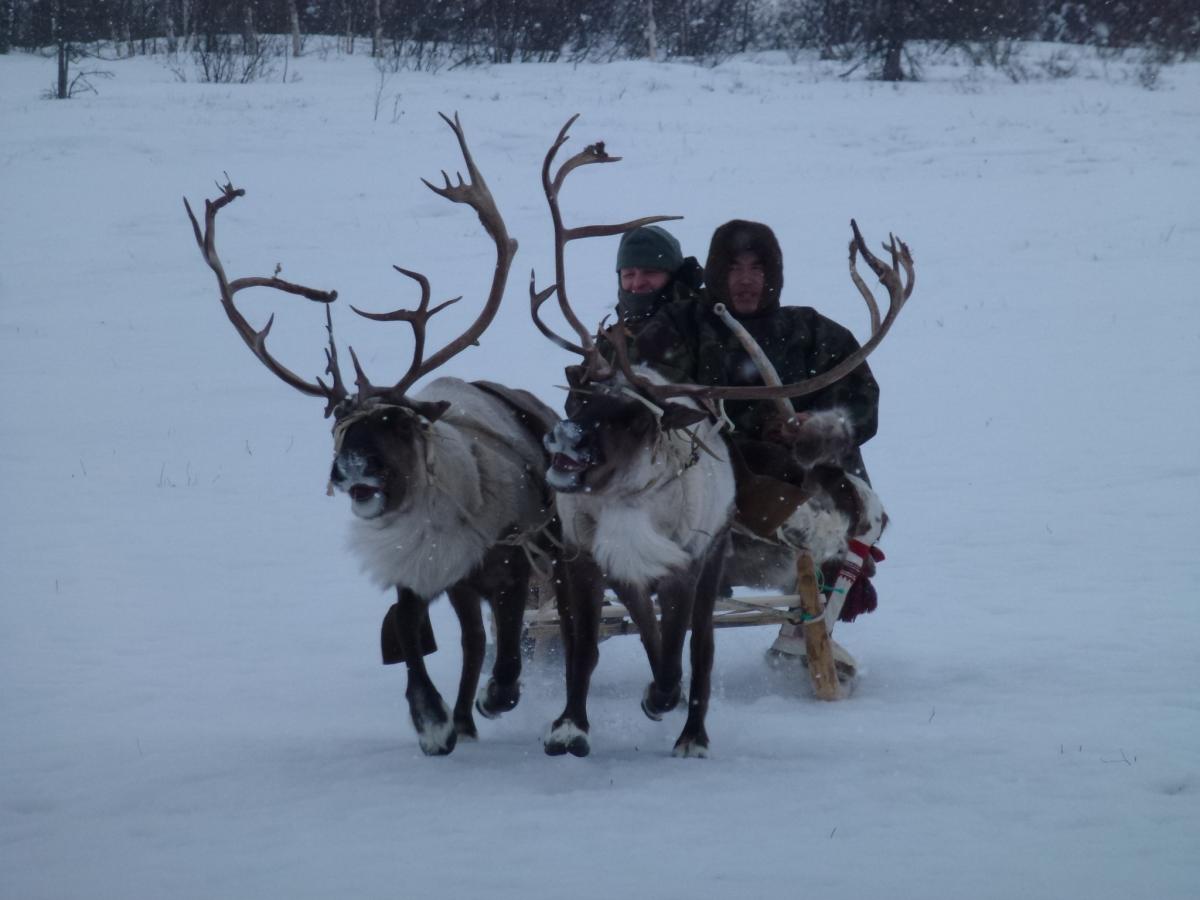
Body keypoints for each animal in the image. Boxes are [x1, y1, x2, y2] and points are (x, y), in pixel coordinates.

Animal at [184, 113, 560, 757]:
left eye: (395, 421)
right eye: (337, 429)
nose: (349, 469)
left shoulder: (509, 559)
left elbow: (510, 640)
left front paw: (499, 694)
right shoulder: (418, 573)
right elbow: (409, 637)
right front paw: (432, 720)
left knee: (495, 636)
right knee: (470, 640)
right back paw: (463, 719)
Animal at [528, 117, 915, 756]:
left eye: (635, 418)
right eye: (579, 397)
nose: (562, 441)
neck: (627, 501)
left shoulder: (685, 563)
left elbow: (679, 647)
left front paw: (664, 701)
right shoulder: (590, 558)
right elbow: (588, 647)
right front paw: (568, 725)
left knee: (715, 638)